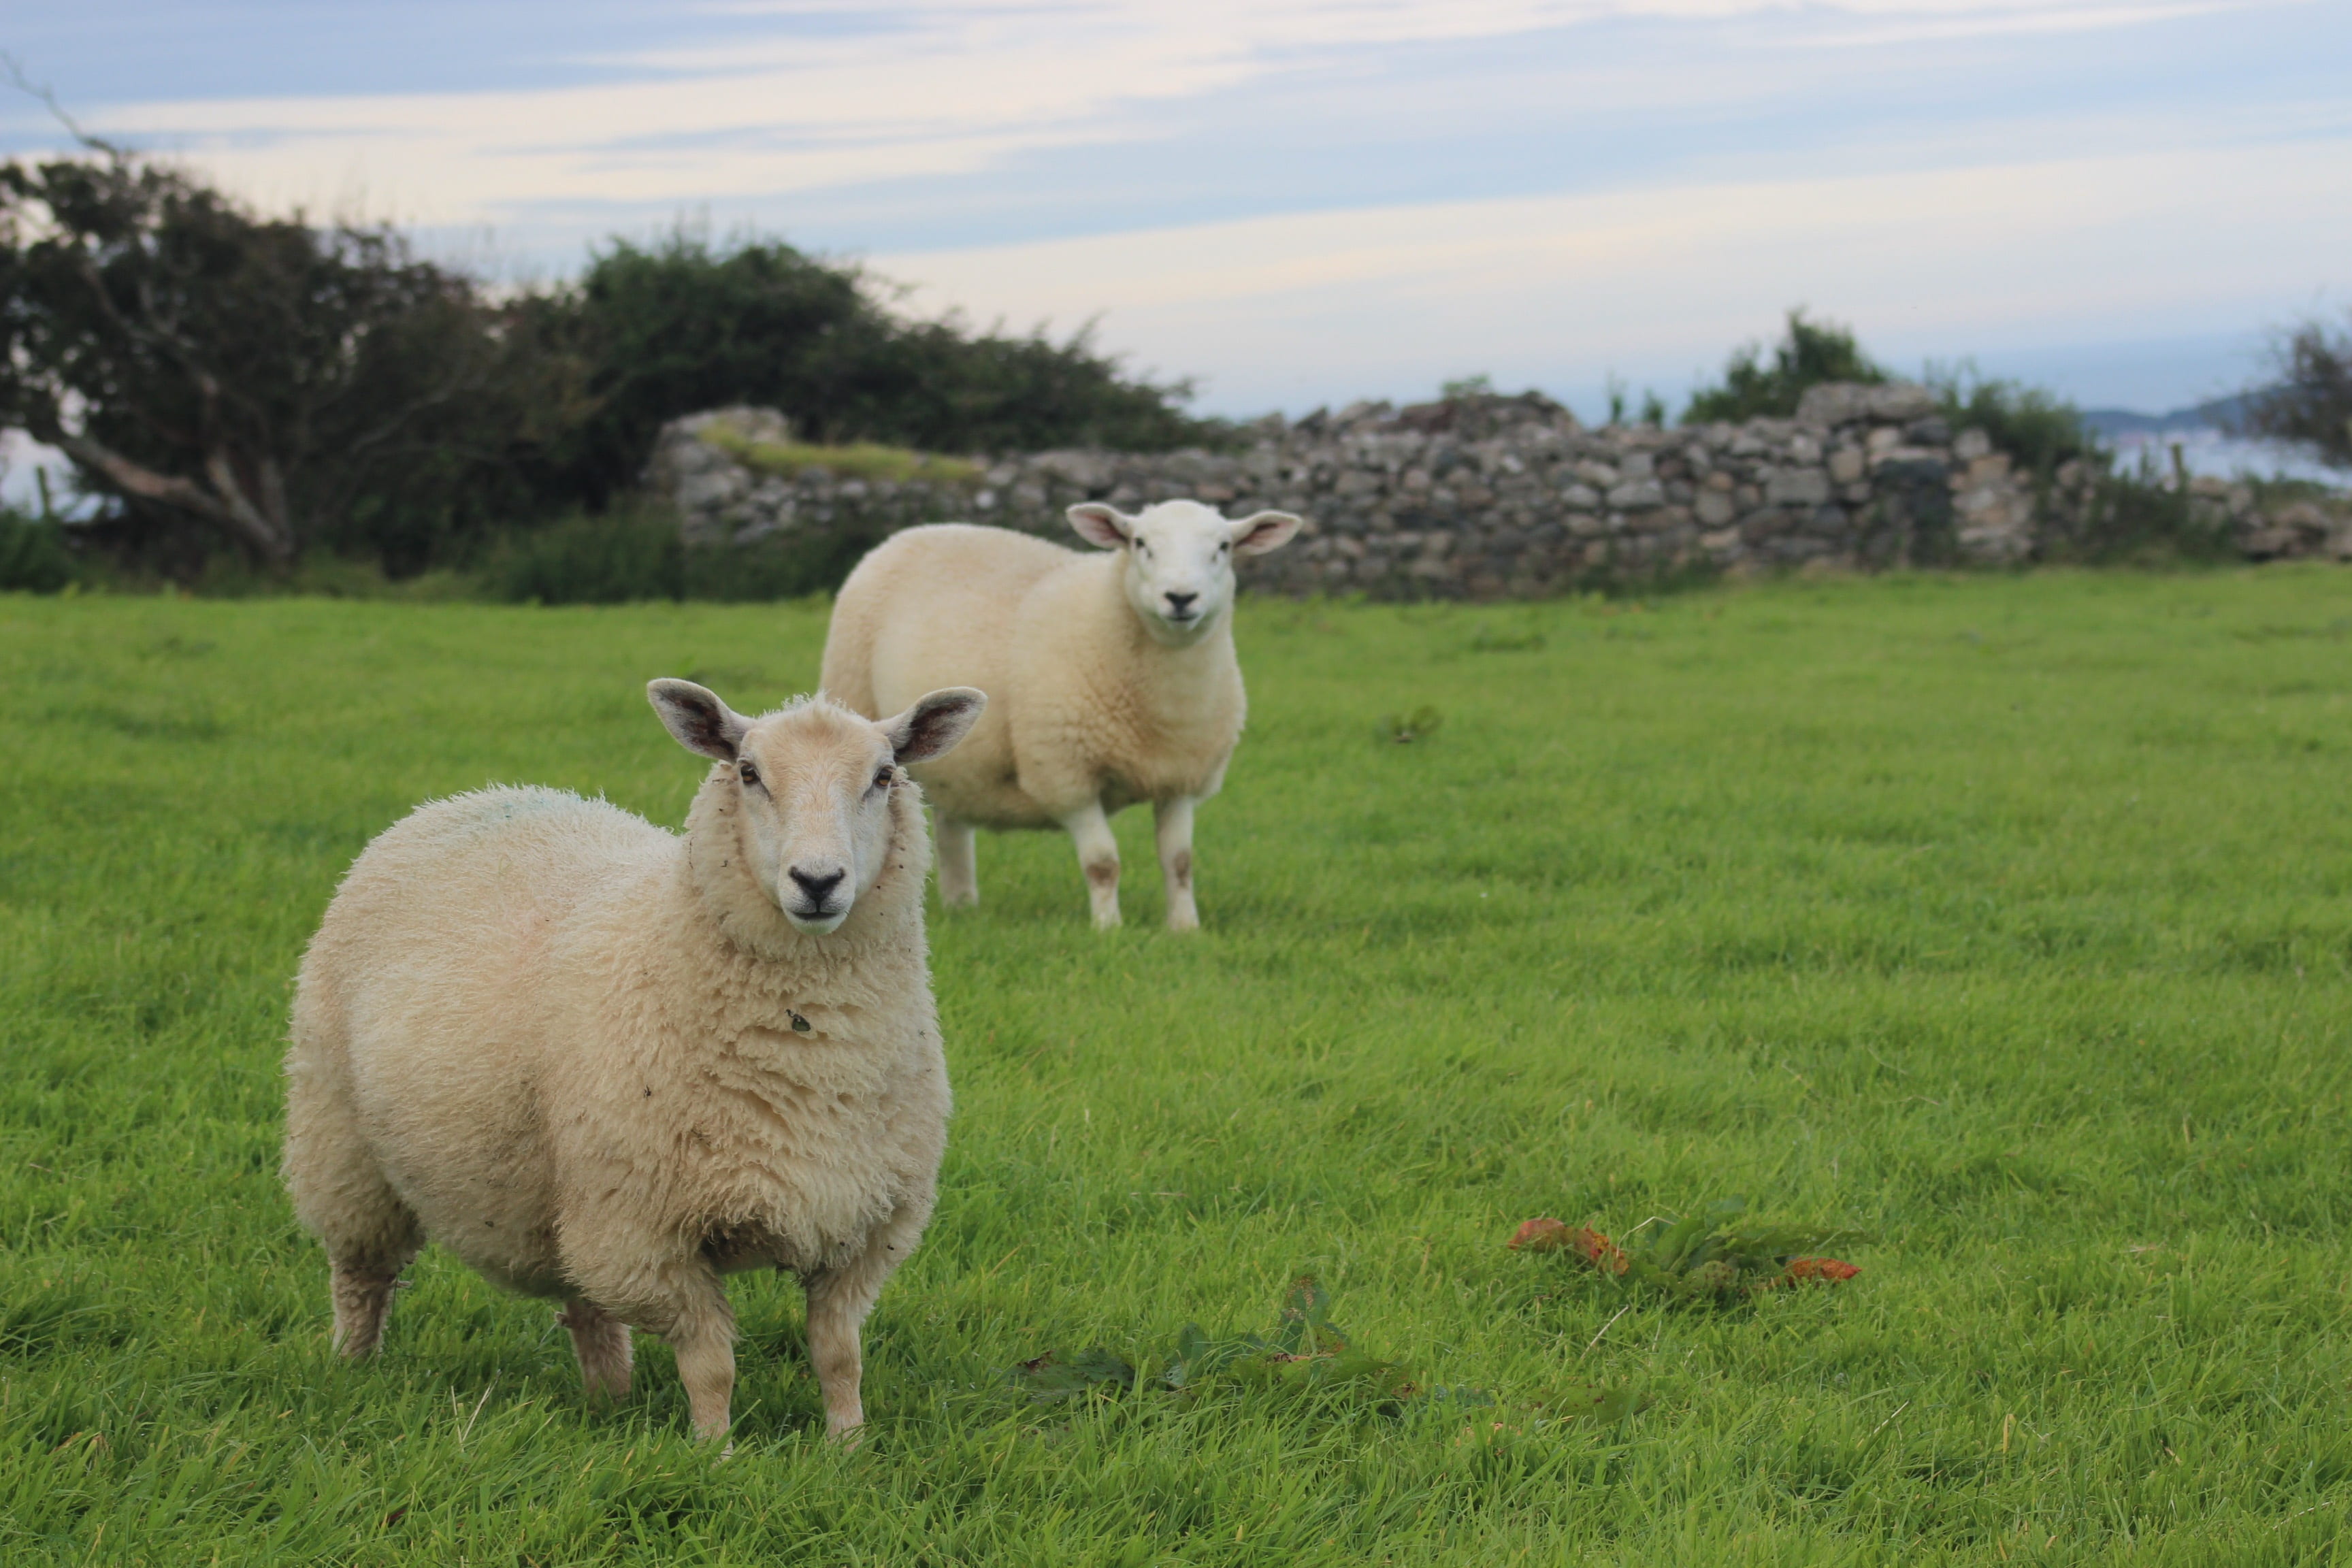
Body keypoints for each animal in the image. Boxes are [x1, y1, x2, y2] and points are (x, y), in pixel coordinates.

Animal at [281, 679, 986, 1443]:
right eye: (749, 773)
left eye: (884, 777)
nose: (819, 880)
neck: (807, 1056)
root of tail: (472, 797)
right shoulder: (649, 1234)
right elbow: (711, 1365)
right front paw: (715, 1452)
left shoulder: (864, 1228)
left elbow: (839, 1355)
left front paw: (848, 1446)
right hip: (345, 1145)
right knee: (361, 1277)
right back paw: (354, 1367)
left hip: (566, 1193)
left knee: (584, 1300)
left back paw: (609, 1399)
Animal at [818, 499, 1301, 930]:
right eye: (1140, 543)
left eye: (1223, 546)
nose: (1181, 598)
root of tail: (919, 530)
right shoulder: (1065, 772)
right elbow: (1103, 861)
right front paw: (1108, 928)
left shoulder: (1181, 778)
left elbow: (1179, 861)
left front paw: (1184, 928)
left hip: (956, 762)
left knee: (952, 826)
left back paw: (962, 905)